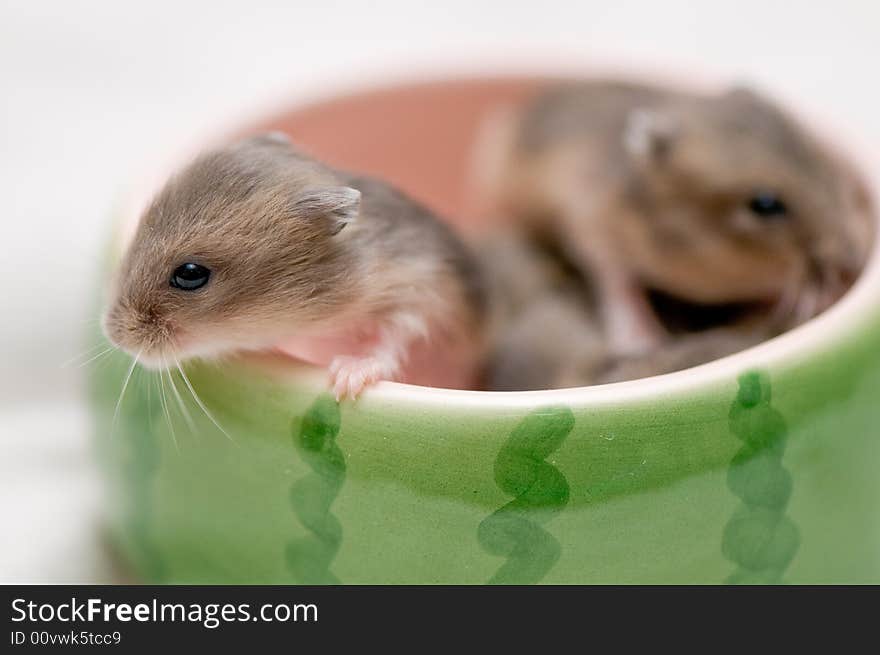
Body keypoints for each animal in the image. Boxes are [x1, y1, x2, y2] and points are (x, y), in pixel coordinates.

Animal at [478, 82, 876, 358]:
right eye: (764, 204)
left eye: (822, 163)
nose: (855, 262)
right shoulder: (594, 228)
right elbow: (618, 281)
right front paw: (642, 342)